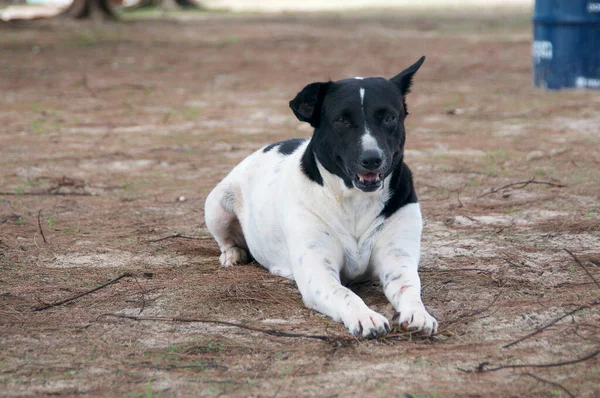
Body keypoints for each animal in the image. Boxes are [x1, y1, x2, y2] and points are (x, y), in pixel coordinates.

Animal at [205, 56, 436, 338]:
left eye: (390, 118)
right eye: (341, 120)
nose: (372, 159)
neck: (354, 200)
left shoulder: (397, 260)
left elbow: (410, 289)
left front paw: (419, 313)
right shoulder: (318, 272)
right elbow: (344, 293)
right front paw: (365, 316)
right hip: (217, 207)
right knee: (226, 240)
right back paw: (233, 254)